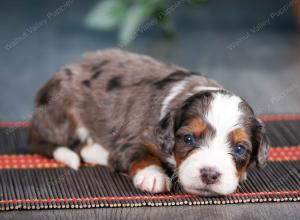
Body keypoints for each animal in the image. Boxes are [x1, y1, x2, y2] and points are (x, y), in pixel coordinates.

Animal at [29, 48, 270, 196]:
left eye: (240, 149)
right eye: (188, 139)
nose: (209, 174)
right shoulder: (132, 138)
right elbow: (139, 155)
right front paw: (153, 177)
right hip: (63, 112)